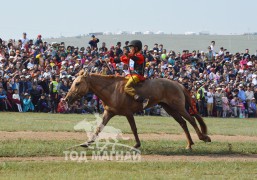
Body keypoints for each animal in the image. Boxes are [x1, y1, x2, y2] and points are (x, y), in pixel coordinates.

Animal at [64, 71, 210, 150]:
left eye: (77, 83)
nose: (66, 98)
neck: (112, 90)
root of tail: (177, 84)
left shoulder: (128, 113)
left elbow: (134, 128)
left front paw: (137, 144)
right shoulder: (109, 113)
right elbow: (99, 128)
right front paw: (87, 143)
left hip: (178, 107)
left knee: (191, 119)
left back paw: (203, 137)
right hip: (169, 108)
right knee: (183, 123)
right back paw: (189, 144)